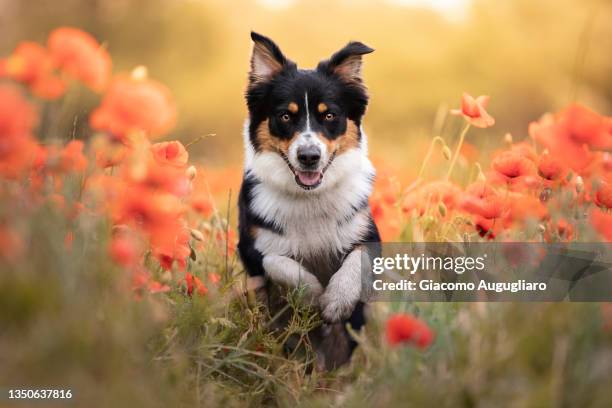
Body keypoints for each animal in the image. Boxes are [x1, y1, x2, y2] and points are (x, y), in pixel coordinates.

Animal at [238, 31, 378, 370]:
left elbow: (357, 258)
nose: (309, 156)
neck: (309, 198)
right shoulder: (250, 248)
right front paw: (313, 295)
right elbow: (279, 262)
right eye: (285, 116)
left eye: (329, 115)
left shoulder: (370, 235)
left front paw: (336, 300)